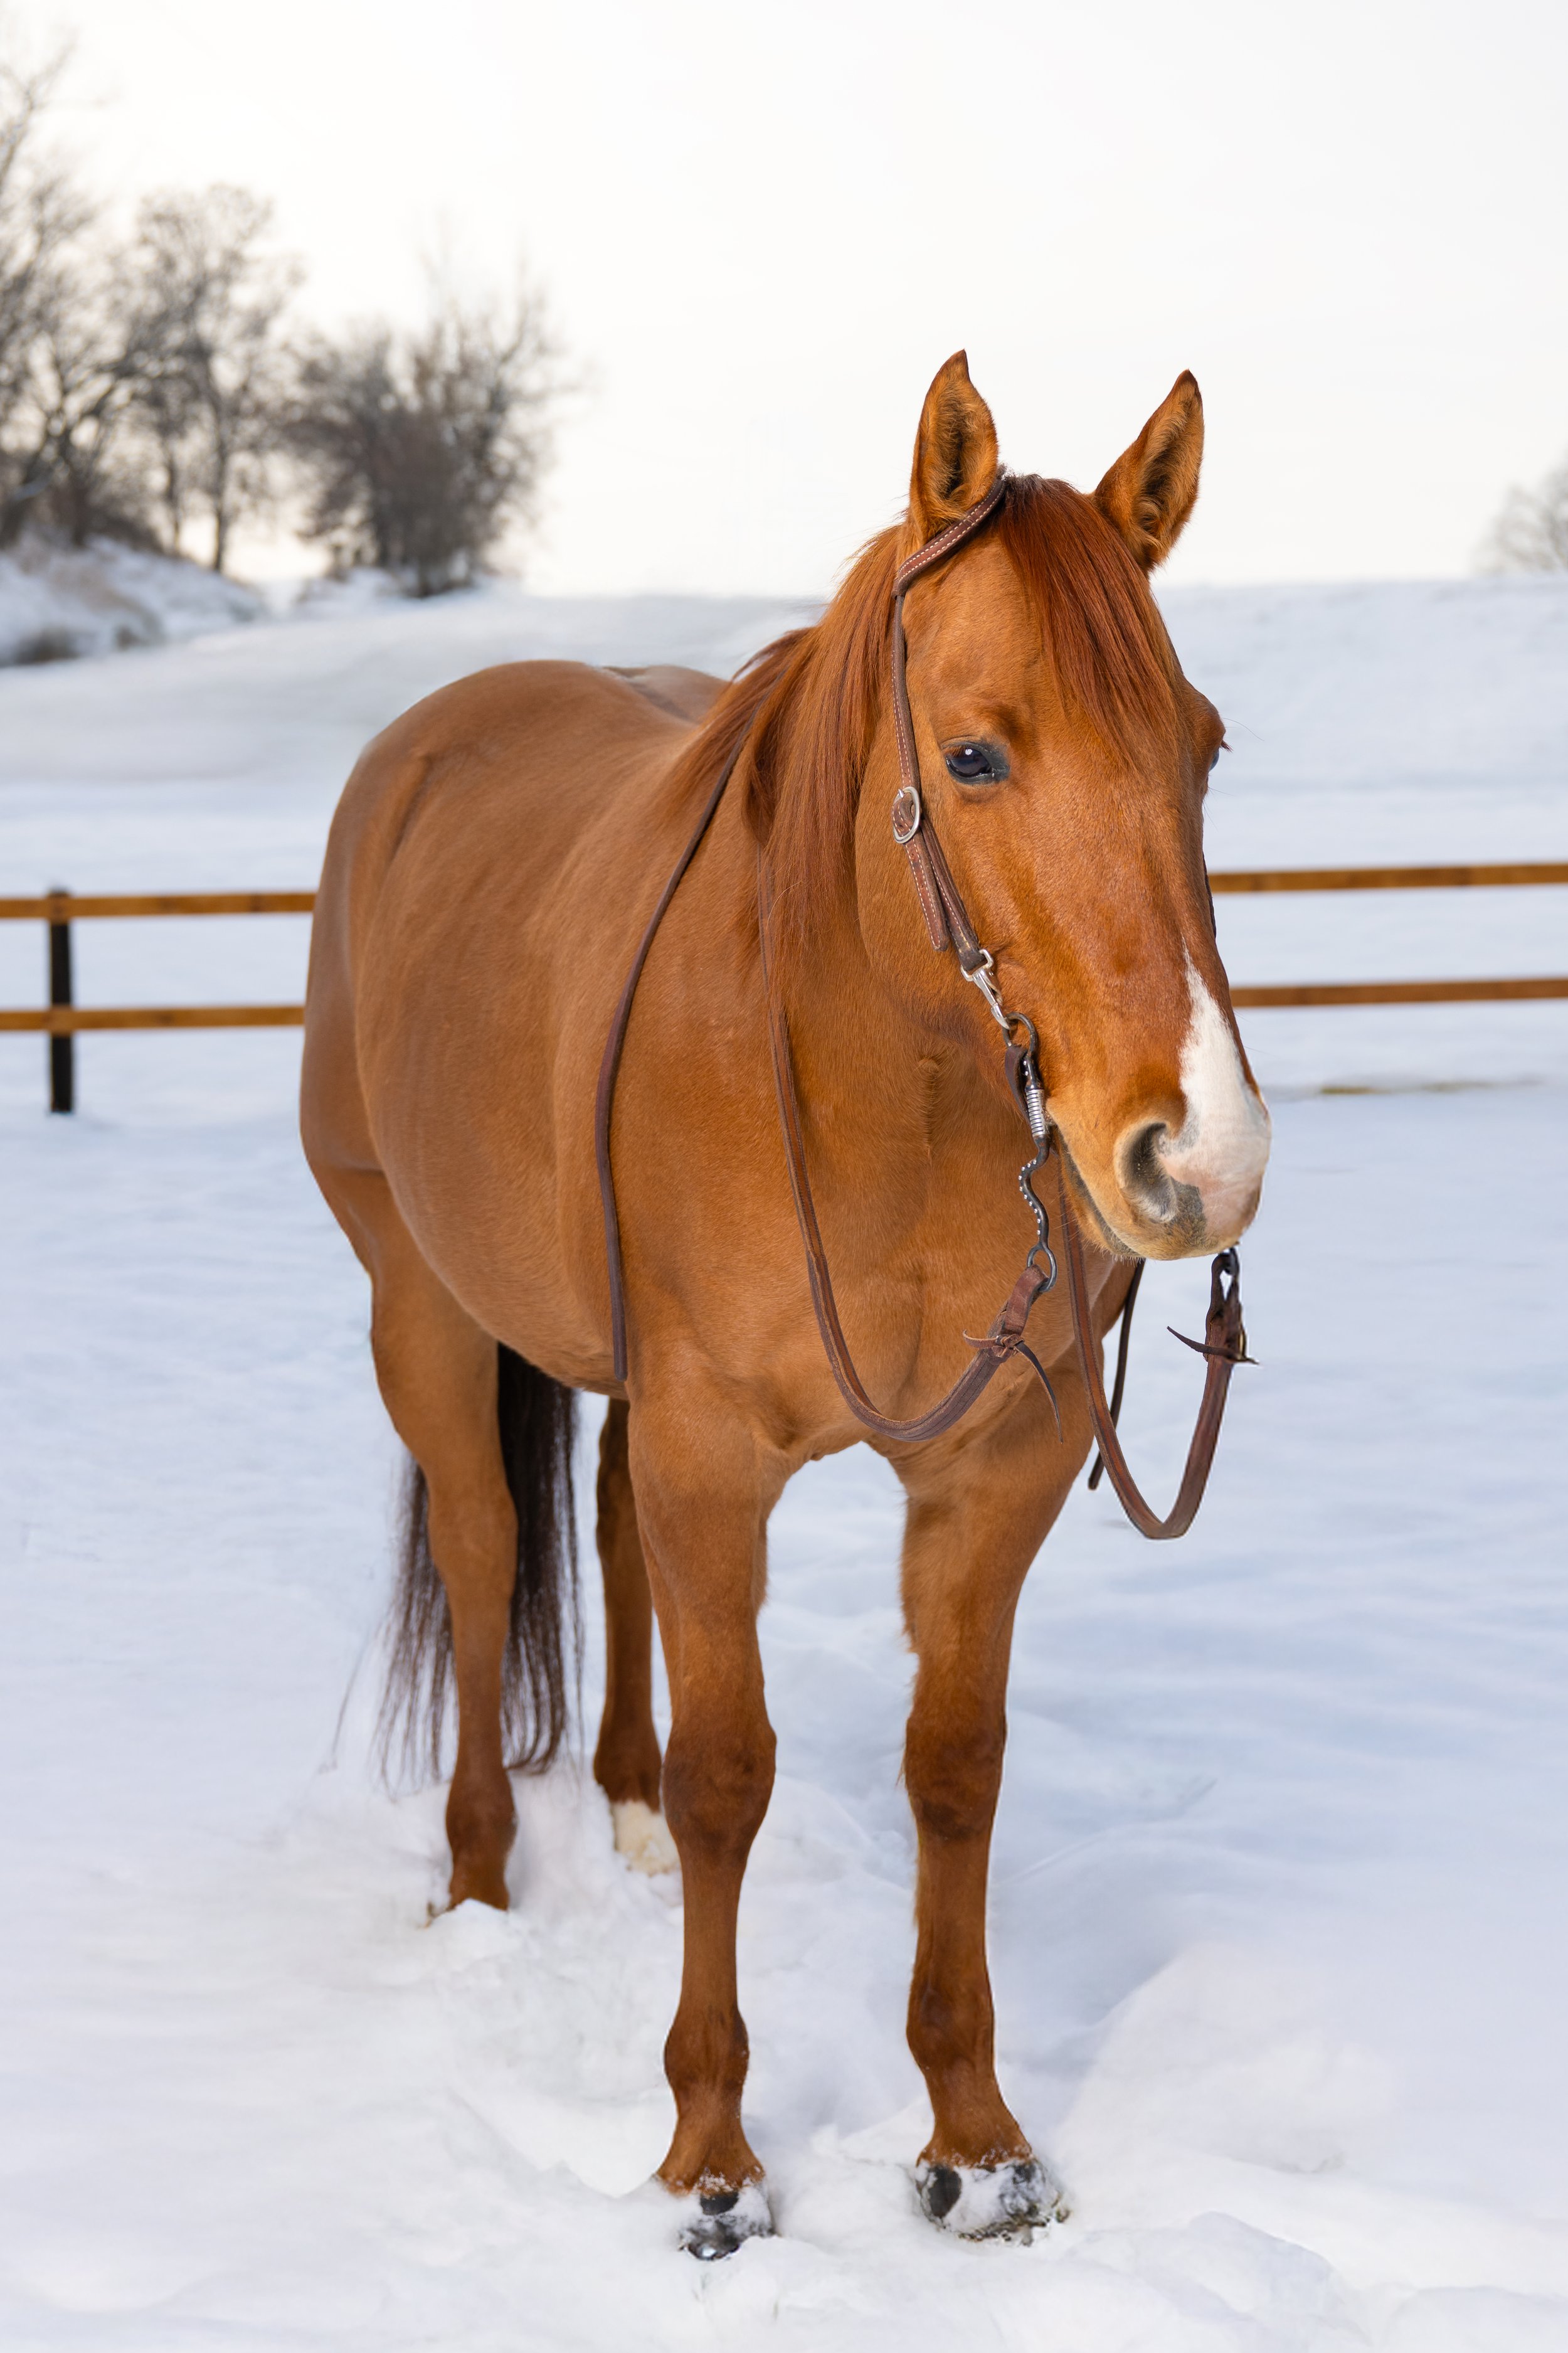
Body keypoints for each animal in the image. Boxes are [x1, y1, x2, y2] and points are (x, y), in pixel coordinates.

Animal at [300, 352, 1271, 2257]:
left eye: (1200, 746)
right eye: (971, 752)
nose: (1195, 1152)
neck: (865, 1075)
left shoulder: (992, 1466)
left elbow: (952, 1763)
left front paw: (975, 2143)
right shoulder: (716, 1454)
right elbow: (730, 1772)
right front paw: (711, 2158)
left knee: (598, 1522)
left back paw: (609, 1806)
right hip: (421, 1309)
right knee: (482, 1551)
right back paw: (477, 1887)